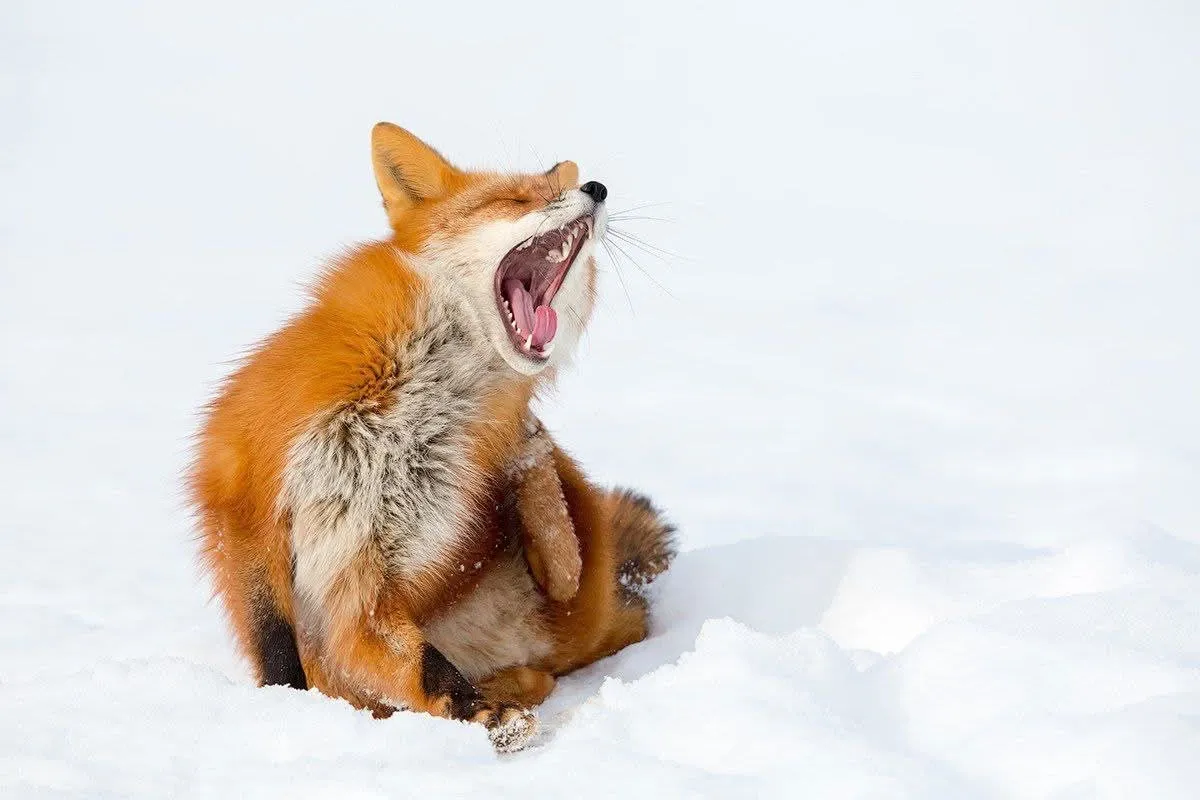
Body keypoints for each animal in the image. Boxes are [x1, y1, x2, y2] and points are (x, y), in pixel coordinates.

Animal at [188, 122, 676, 752]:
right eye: (519, 198)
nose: (595, 187)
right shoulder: (246, 486)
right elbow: (283, 648)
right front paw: (287, 709)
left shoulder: (368, 576)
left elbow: (423, 666)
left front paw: (488, 716)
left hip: (579, 586)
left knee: (569, 577)